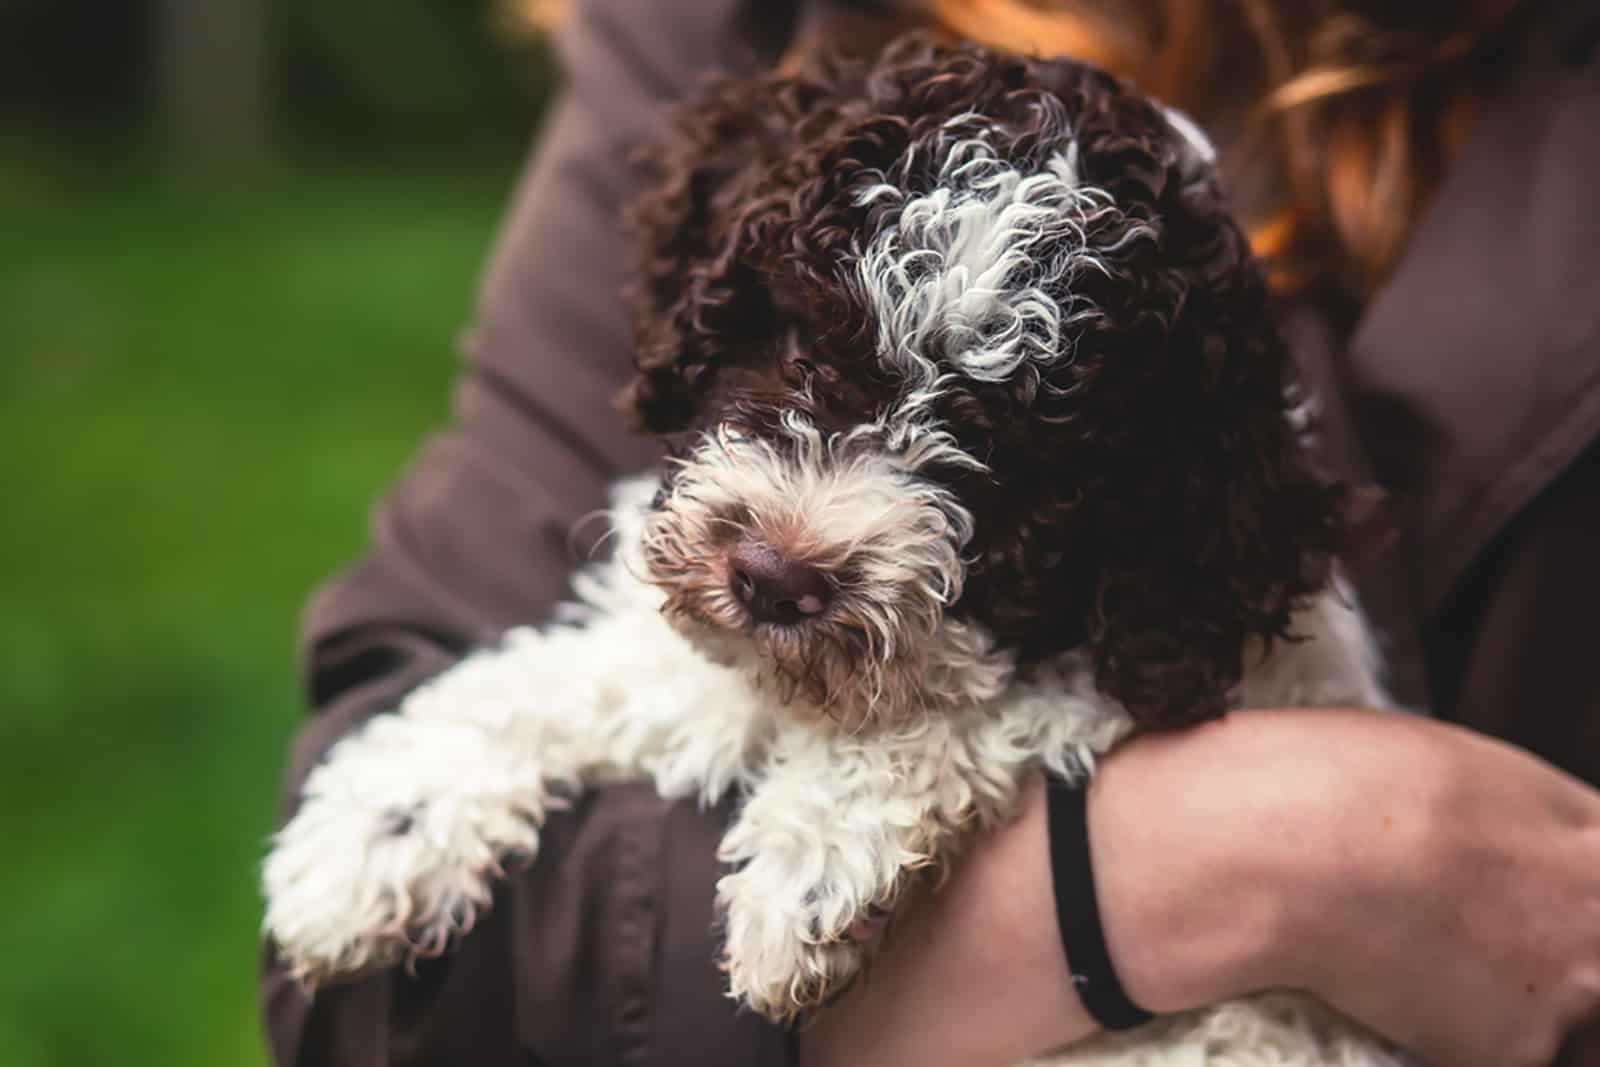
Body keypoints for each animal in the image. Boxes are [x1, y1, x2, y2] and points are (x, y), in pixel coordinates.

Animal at [265, 33, 1414, 1067]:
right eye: (798, 335)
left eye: (1011, 454)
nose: (774, 579)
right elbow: (572, 682)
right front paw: (378, 828)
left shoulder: (1166, 641)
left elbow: (987, 702)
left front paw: (806, 868)